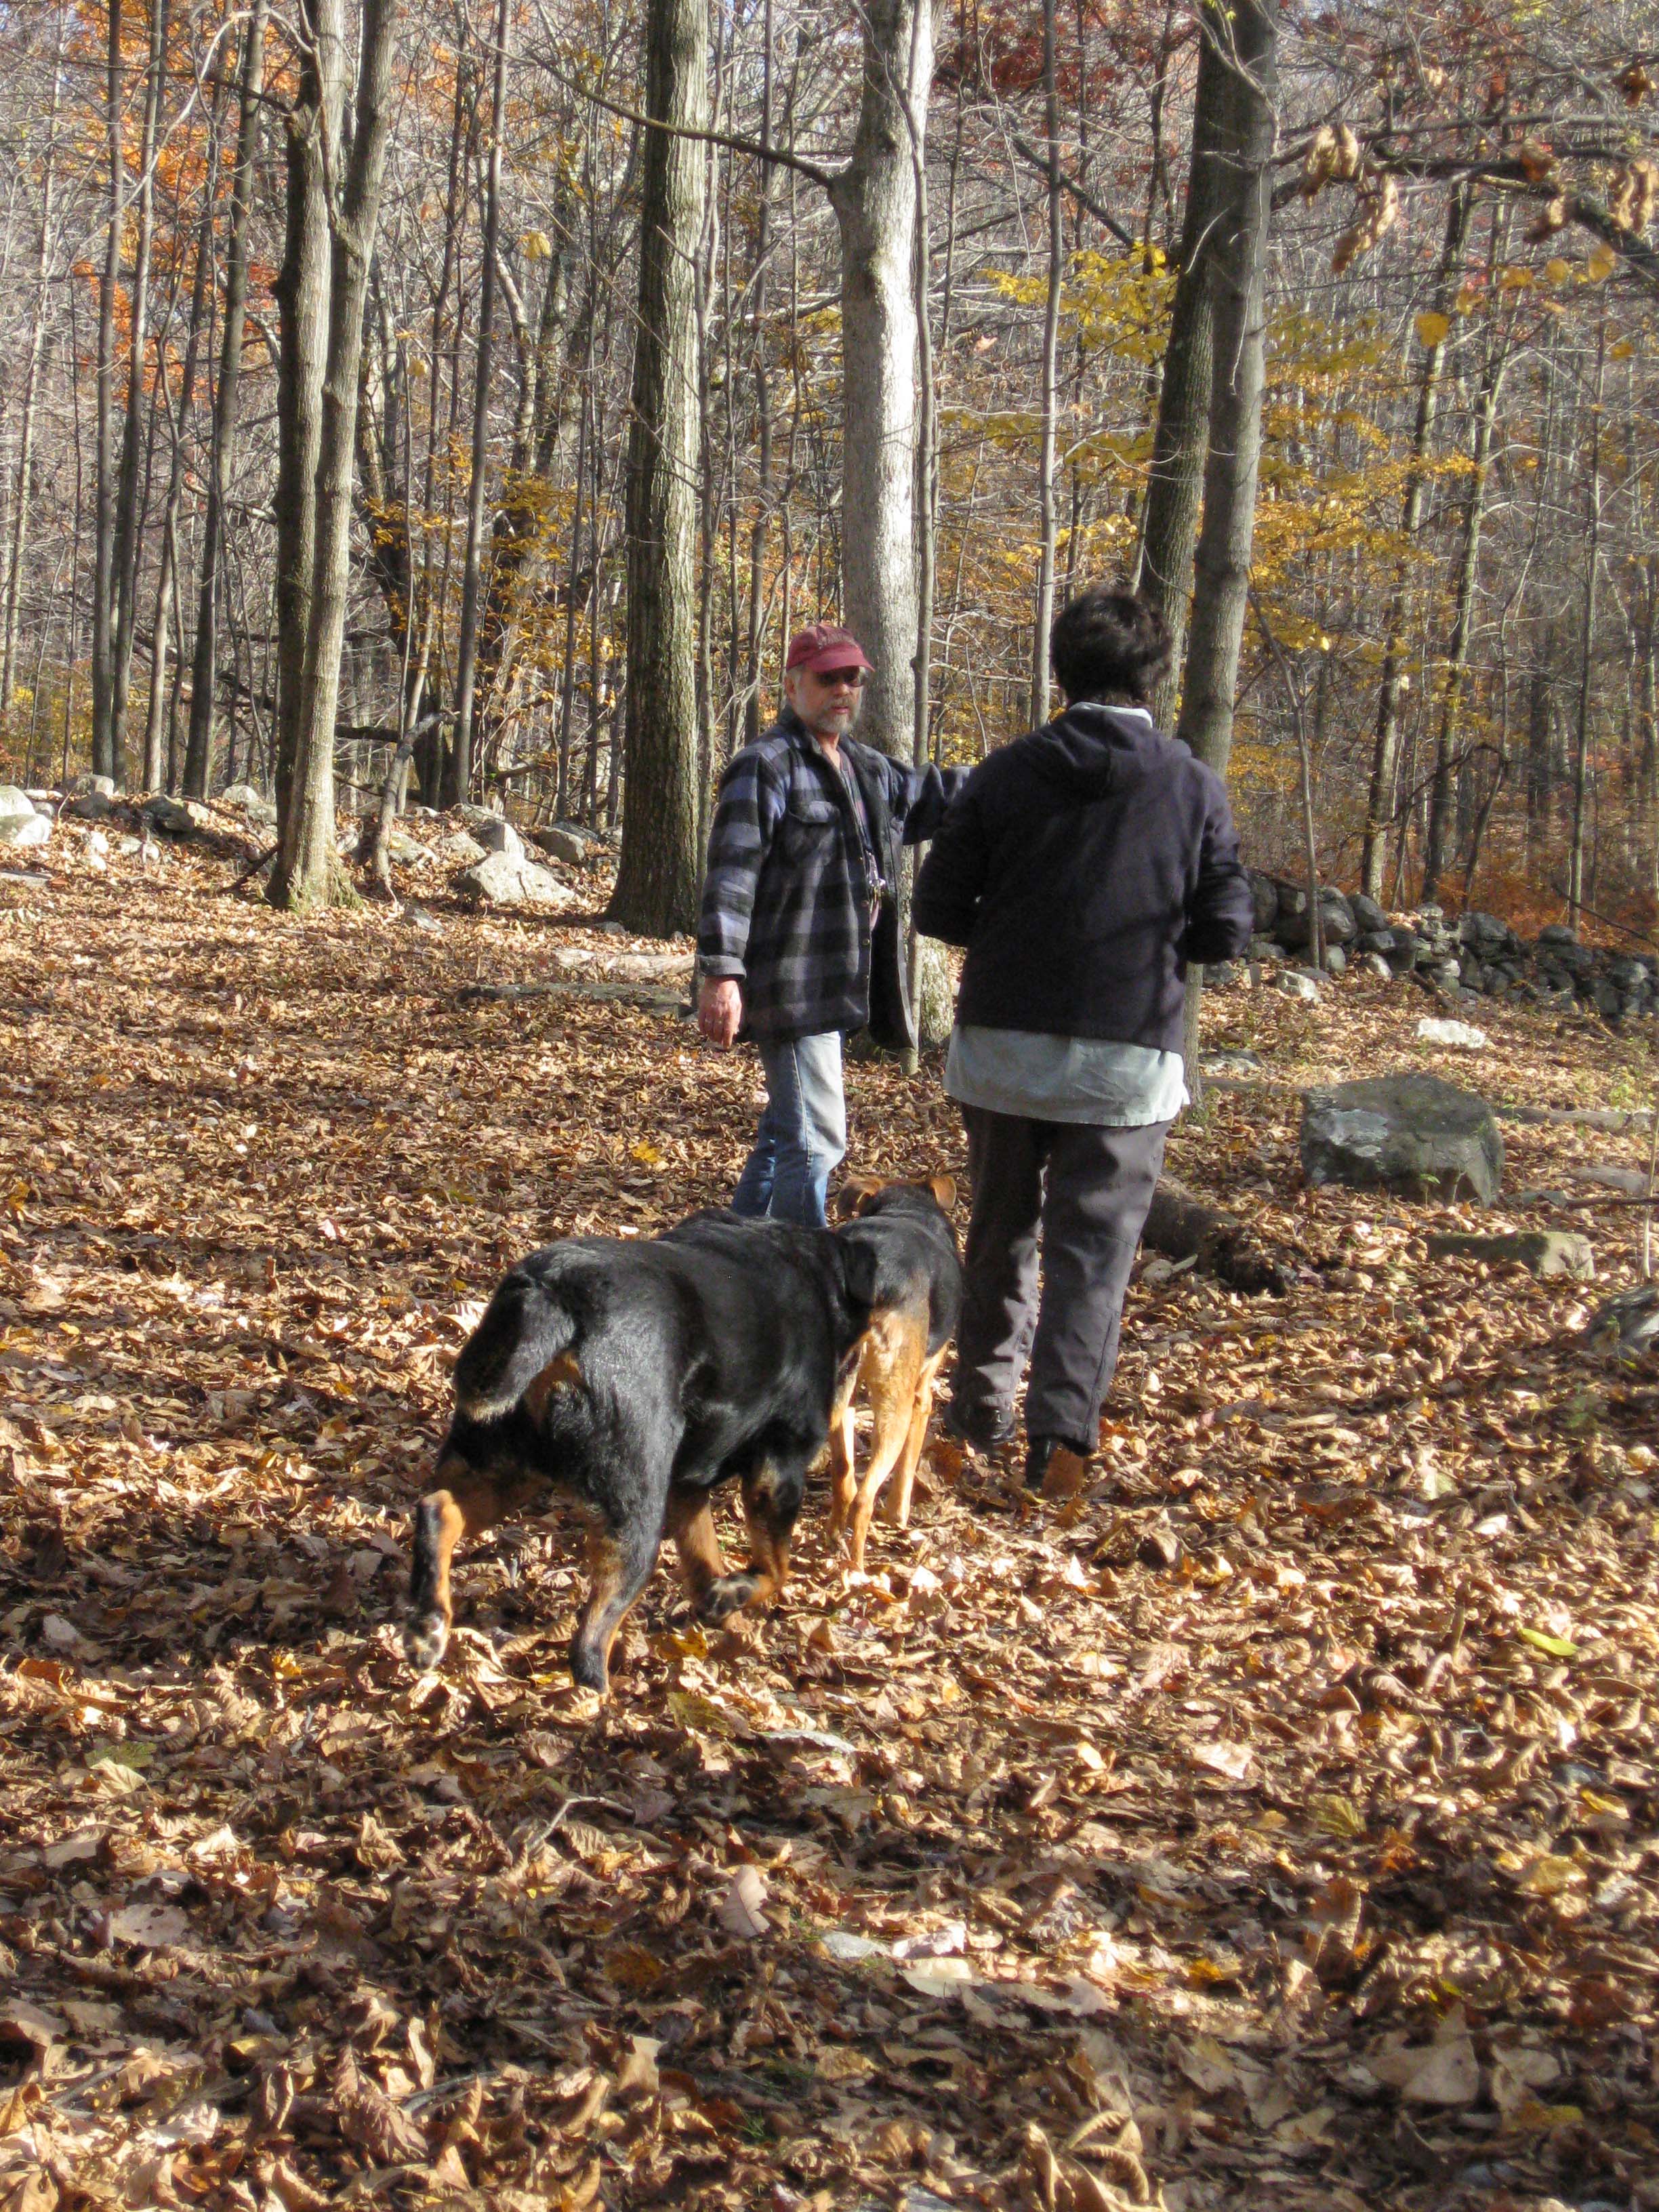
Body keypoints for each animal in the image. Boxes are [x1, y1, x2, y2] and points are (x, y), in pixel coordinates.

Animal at [406, 1209, 880, 1695]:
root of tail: (552, 1296)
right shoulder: (776, 1473)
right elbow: (775, 1568)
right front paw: (739, 1593)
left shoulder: (686, 1486)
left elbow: (705, 1558)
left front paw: (721, 1607)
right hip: (633, 1516)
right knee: (589, 1642)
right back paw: (597, 1700)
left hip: (509, 1469)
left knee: (438, 1510)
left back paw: (428, 1626)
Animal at [827, 1174, 963, 1569]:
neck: (907, 1209)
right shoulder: (922, 1397)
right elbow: (907, 1469)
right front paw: (900, 1516)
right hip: (895, 1406)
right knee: (863, 1498)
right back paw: (857, 1571)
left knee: (844, 1479)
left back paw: (833, 1538)